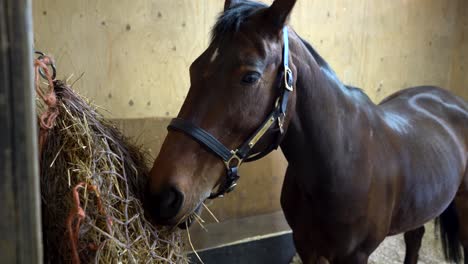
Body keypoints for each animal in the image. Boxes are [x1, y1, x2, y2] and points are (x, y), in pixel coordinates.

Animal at [144, 1, 466, 262]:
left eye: (250, 77)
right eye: (193, 68)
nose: (162, 195)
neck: (340, 165)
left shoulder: (354, 256)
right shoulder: (307, 246)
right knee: (415, 237)